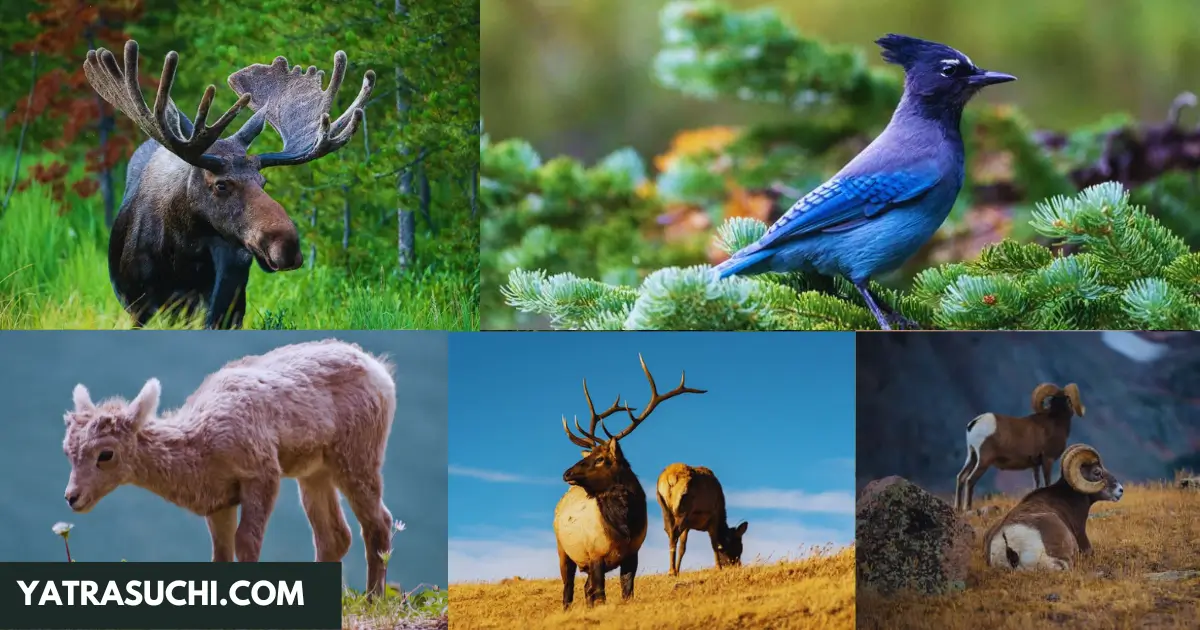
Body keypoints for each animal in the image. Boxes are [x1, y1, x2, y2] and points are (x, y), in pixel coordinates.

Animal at [60, 338, 396, 595]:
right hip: (314, 472)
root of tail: (382, 373)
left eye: (106, 454)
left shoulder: (262, 474)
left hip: (357, 457)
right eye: (67, 450)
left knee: (378, 523)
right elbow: (220, 554)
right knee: (335, 536)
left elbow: (246, 542)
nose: (72, 497)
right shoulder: (219, 500)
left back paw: (373, 598)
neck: (200, 445)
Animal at [82, 41, 372, 328]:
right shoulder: (139, 307)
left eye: (263, 181)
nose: (287, 246)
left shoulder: (220, 304)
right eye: (221, 185)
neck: (181, 255)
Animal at [556, 350, 705, 607]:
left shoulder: (632, 554)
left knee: (585, 589)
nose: (567, 473)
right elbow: (601, 594)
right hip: (563, 551)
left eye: (600, 459)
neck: (624, 527)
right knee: (568, 591)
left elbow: (627, 592)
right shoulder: (595, 554)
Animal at [955, 384, 1089, 511]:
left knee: (961, 477)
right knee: (970, 480)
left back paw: (958, 508)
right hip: (984, 461)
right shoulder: (1047, 460)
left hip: (972, 457)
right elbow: (1047, 481)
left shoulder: (1035, 465)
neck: (1056, 422)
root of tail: (975, 423)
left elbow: (1037, 483)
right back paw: (967, 508)